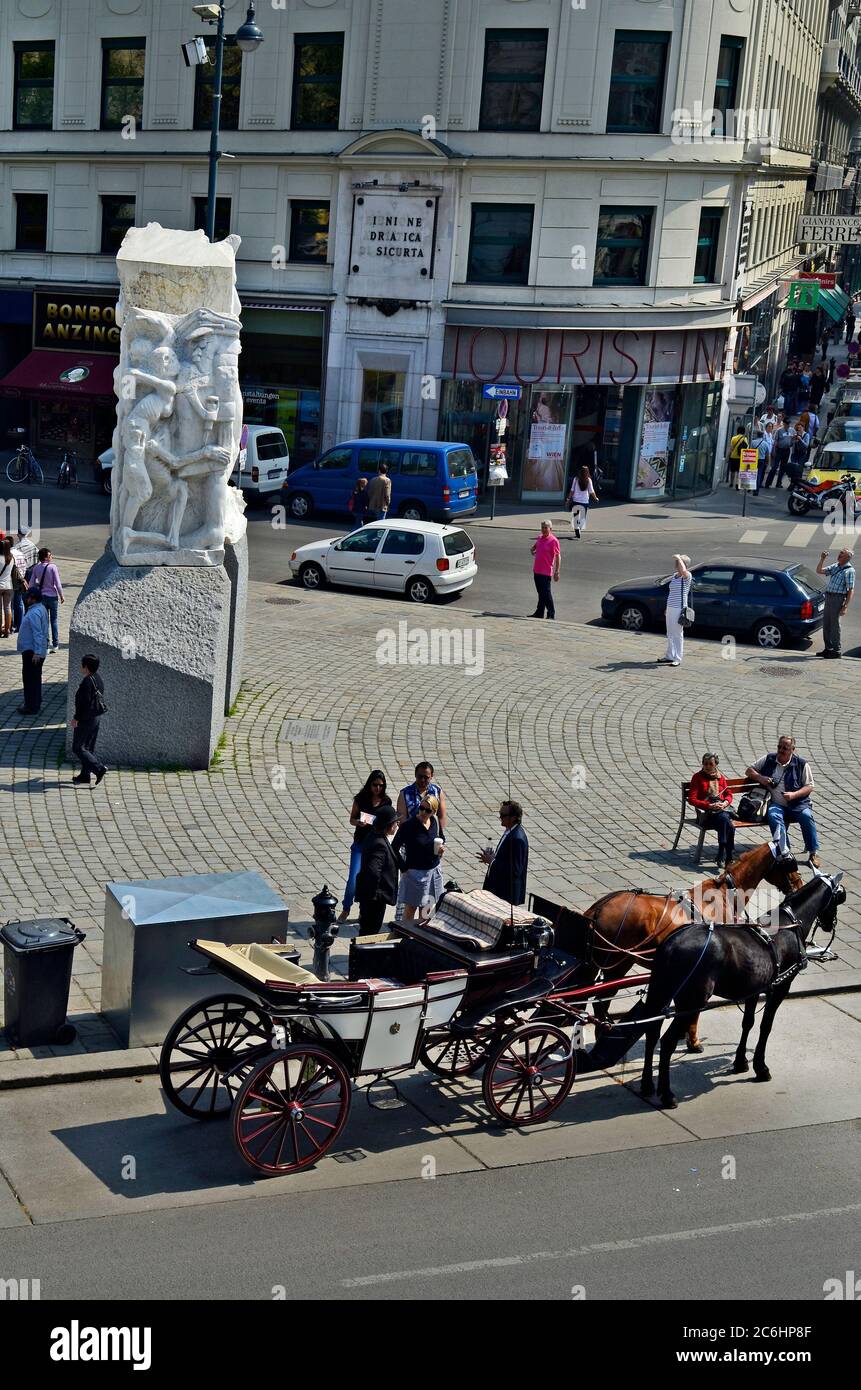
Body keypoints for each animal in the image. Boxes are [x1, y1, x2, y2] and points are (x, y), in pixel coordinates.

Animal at [581, 834, 806, 1050]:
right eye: (790, 861)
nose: (799, 885)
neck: (724, 894)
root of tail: (599, 907)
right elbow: (696, 1010)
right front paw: (693, 1040)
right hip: (617, 965)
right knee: (600, 1003)